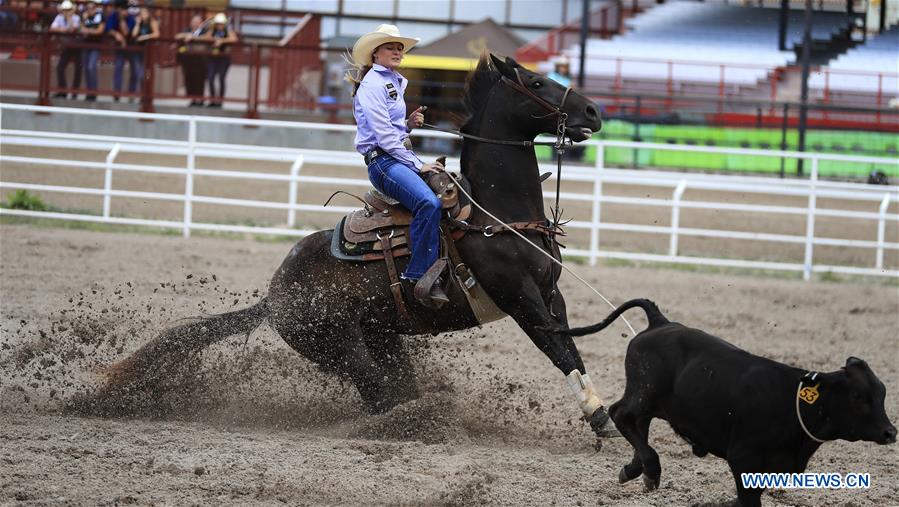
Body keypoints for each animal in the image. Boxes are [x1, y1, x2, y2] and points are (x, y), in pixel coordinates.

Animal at [103, 52, 612, 440]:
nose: (592, 112)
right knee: (375, 391)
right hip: (339, 345)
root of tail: (273, 297)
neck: (494, 213)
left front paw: (600, 412)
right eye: (538, 82)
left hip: (384, 338)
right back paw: (413, 423)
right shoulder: (519, 297)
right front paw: (599, 415)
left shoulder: (550, 293)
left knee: (389, 387)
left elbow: (571, 349)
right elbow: (557, 350)